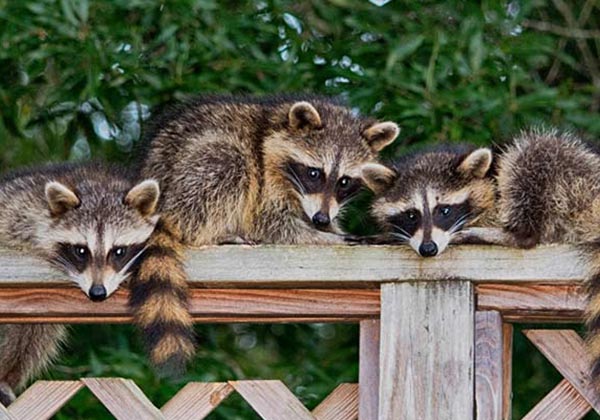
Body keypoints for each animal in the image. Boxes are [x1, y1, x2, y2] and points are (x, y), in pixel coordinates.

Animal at [134, 94, 400, 374]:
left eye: (344, 181)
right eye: (315, 173)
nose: (321, 219)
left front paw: (333, 229)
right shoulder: (265, 178)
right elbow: (272, 224)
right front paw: (332, 237)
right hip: (190, 175)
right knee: (226, 164)